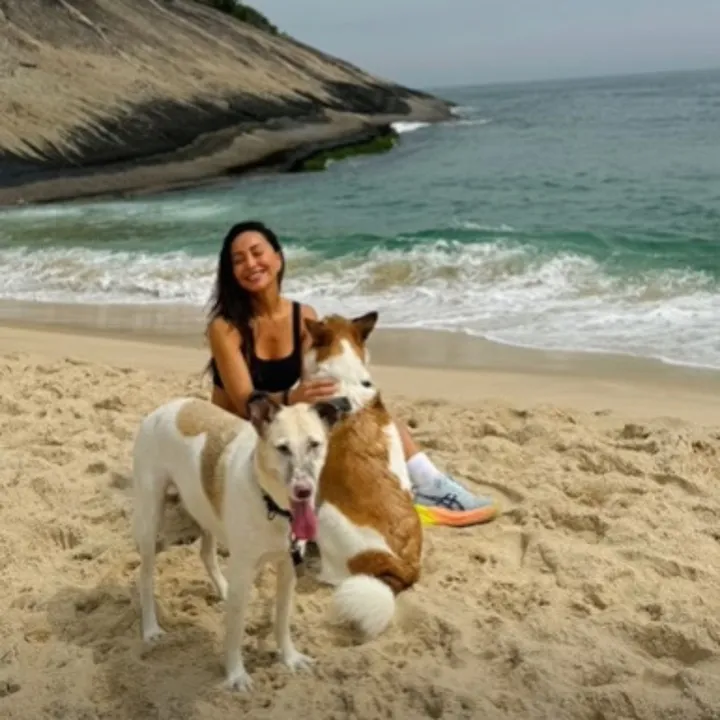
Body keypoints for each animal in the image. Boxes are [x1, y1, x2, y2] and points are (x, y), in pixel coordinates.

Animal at [133, 394, 354, 692]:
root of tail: (170, 405)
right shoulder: (244, 568)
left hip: (205, 512)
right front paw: (236, 674)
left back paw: (224, 591)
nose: (304, 491)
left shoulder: (288, 568)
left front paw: (289, 657)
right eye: (282, 448)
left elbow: (282, 618)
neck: (272, 504)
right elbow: (235, 632)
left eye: (314, 444)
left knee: (206, 554)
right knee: (145, 576)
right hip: (151, 518)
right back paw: (151, 629)